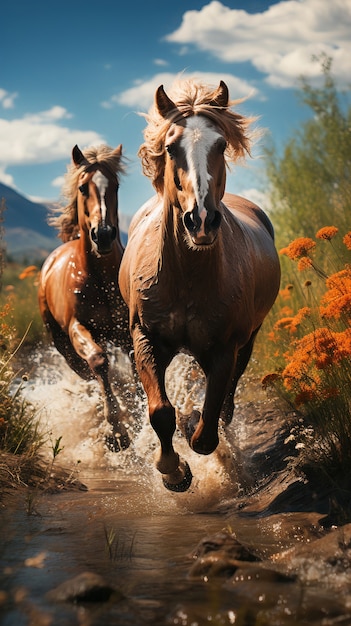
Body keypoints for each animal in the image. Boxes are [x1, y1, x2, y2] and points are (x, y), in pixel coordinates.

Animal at [38, 144, 134, 450]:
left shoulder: (126, 333)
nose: (103, 234)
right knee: (88, 372)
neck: (100, 279)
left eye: (115, 186)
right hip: (64, 346)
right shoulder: (78, 328)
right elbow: (98, 361)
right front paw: (116, 433)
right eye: (82, 187)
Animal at [119, 78, 282, 490]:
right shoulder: (145, 338)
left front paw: (191, 426)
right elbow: (160, 412)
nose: (201, 221)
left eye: (221, 144)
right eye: (170, 147)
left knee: (225, 404)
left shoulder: (225, 348)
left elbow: (207, 429)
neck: (186, 277)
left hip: (248, 340)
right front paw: (173, 472)